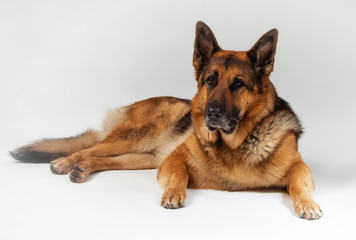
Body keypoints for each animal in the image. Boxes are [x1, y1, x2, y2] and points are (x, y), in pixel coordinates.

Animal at [11, 21, 322, 219]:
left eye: (238, 84)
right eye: (211, 80)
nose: (212, 114)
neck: (235, 144)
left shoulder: (300, 169)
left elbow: (299, 185)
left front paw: (308, 204)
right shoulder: (173, 161)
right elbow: (180, 174)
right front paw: (174, 194)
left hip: (141, 158)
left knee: (100, 159)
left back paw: (81, 169)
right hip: (134, 140)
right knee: (90, 148)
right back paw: (66, 162)